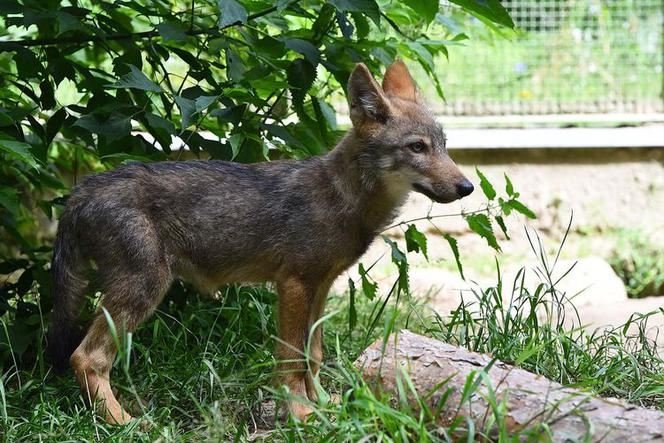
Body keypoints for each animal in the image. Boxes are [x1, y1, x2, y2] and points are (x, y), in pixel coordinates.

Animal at [45, 60, 472, 424]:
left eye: (444, 145)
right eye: (417, 147)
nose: (467, 186)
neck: (343, 197)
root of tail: (82, 190)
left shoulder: (321, 287)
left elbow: (314, 355)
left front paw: (323, 404)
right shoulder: (294, 285)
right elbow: (290, 359)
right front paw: (301, 414)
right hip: (144, 291)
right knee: (86, 358)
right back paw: (124, 422)